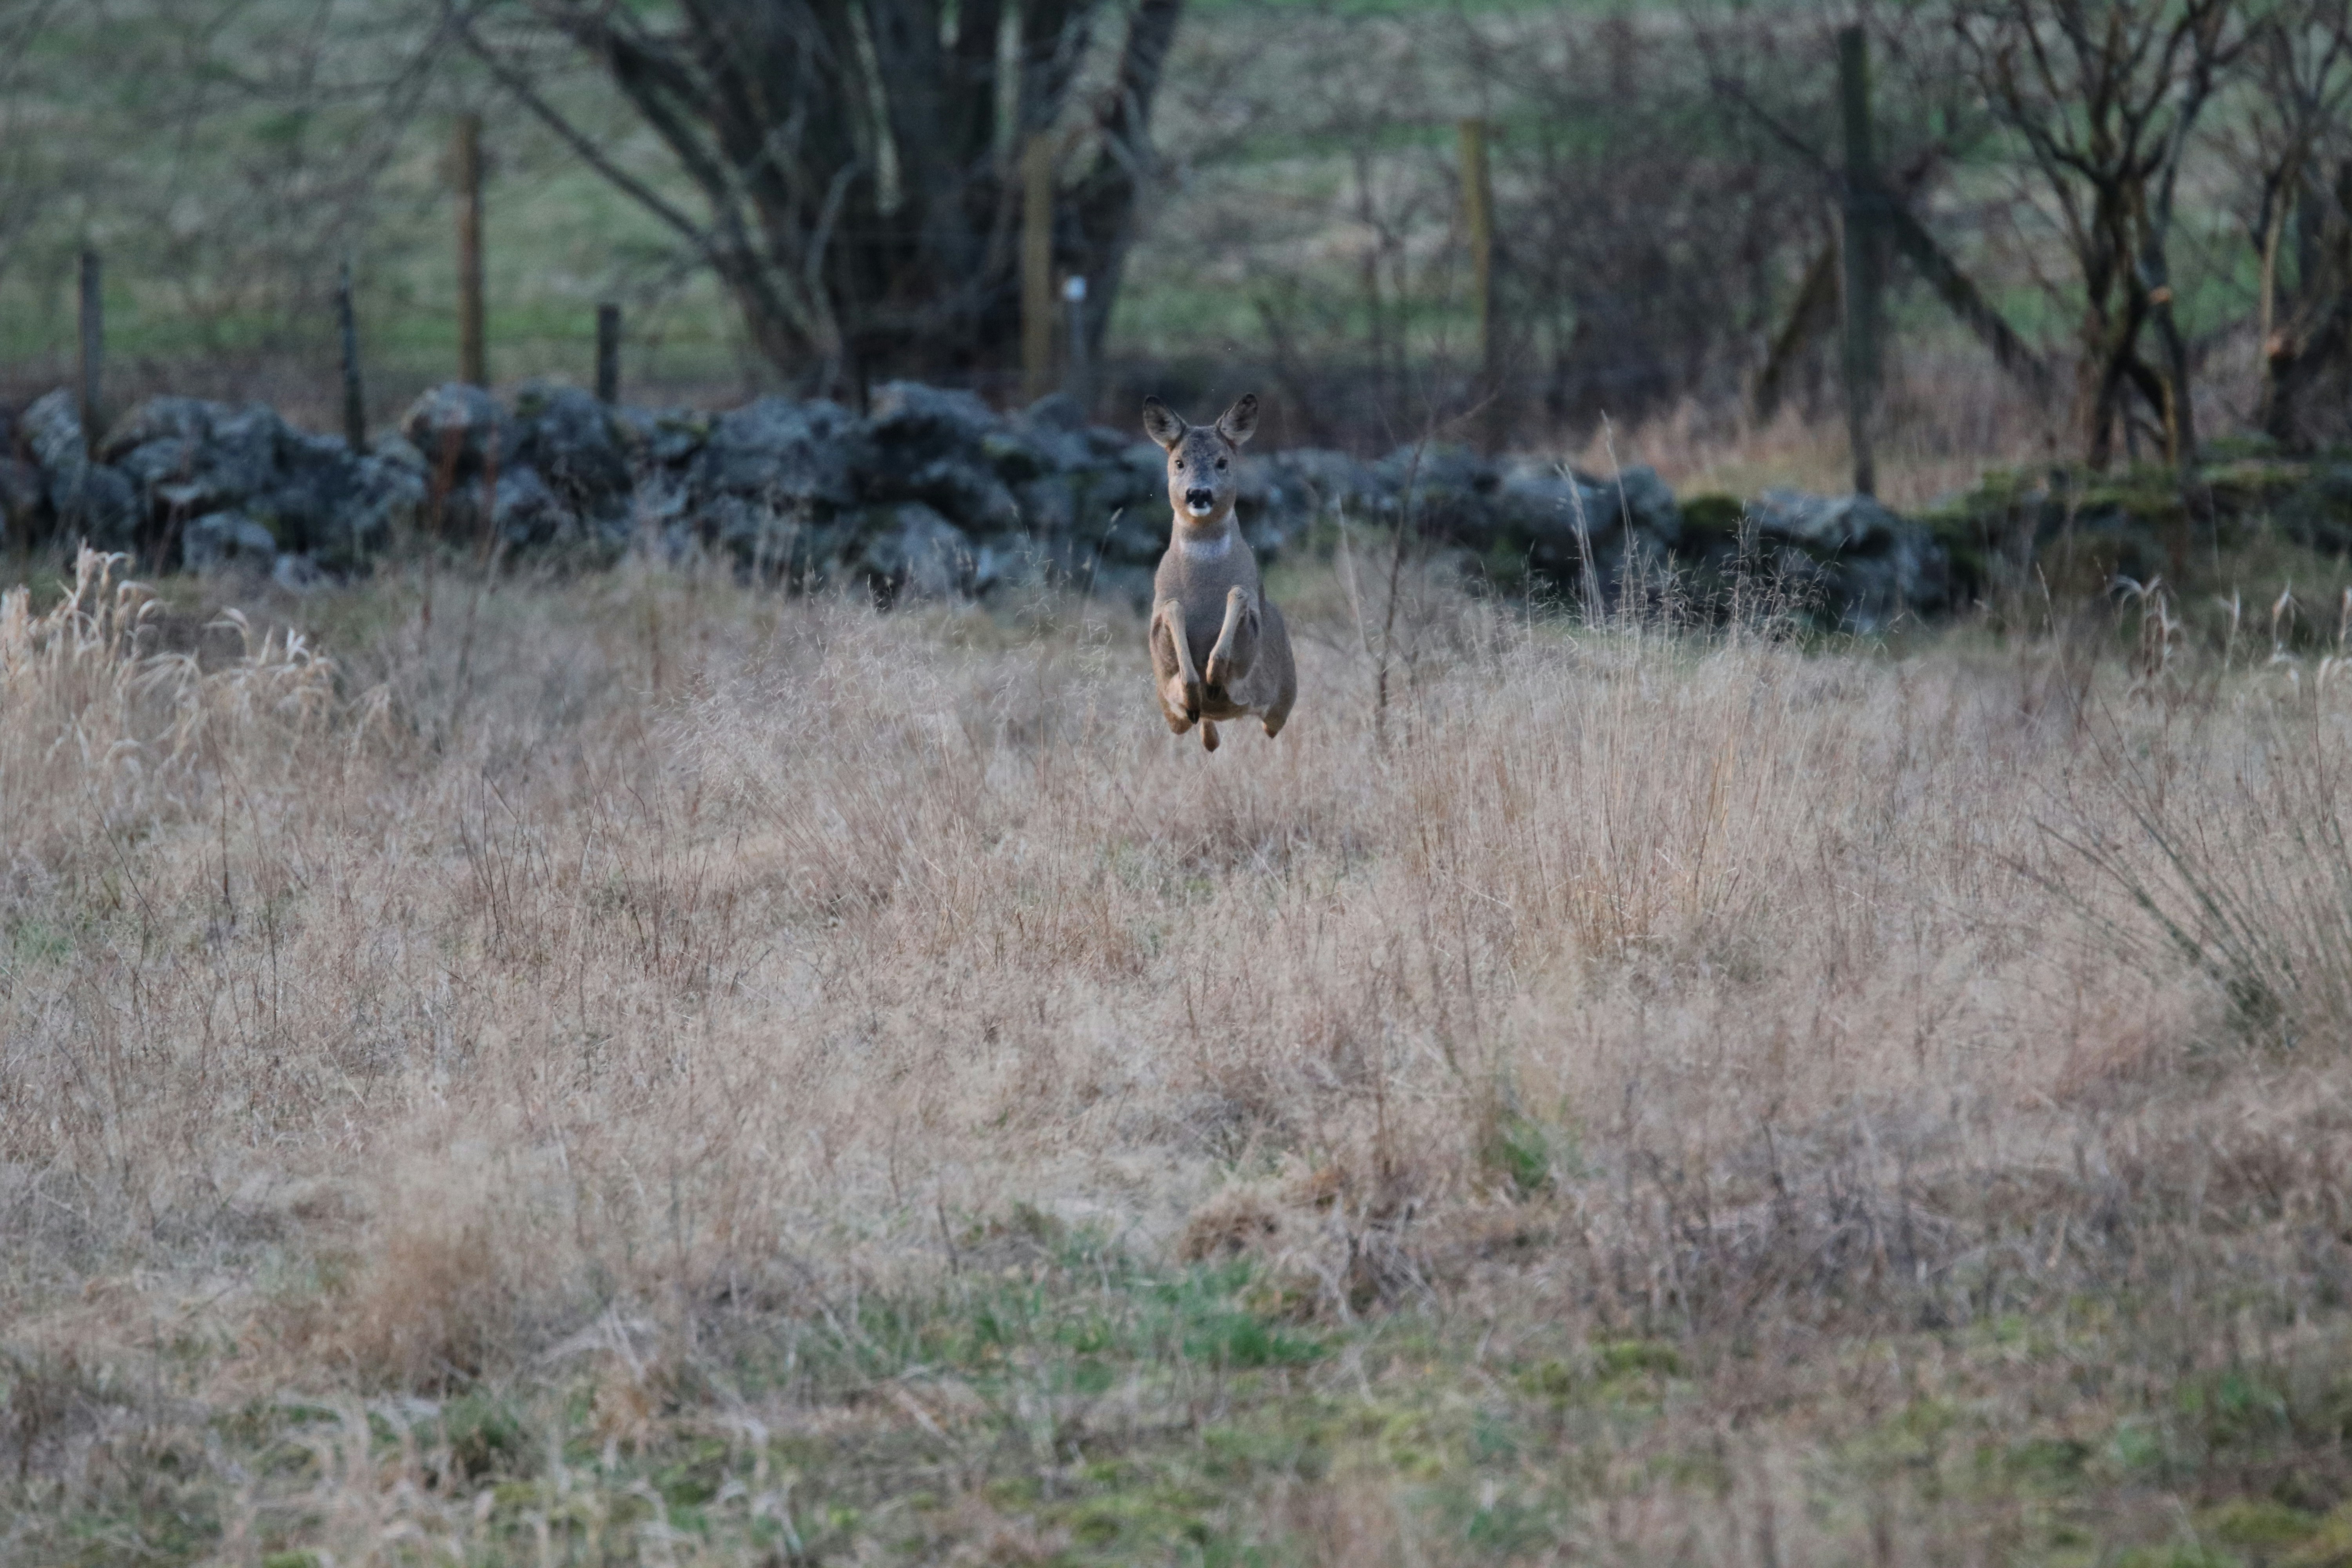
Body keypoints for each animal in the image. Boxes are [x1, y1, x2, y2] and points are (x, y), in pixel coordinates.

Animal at [1141, 394, 1297, 752]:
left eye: (1222, 462)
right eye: (1179, 462)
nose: (1198, 493)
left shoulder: (1251, 634)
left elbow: (1238, 594)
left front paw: (1213, 676)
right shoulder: (1159, 640)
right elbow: (1172, 609)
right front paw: (1195, 689)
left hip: (1285, 697)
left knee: (1270, 725)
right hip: (1170, 716)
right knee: (1200, 728)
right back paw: (1207, 729)